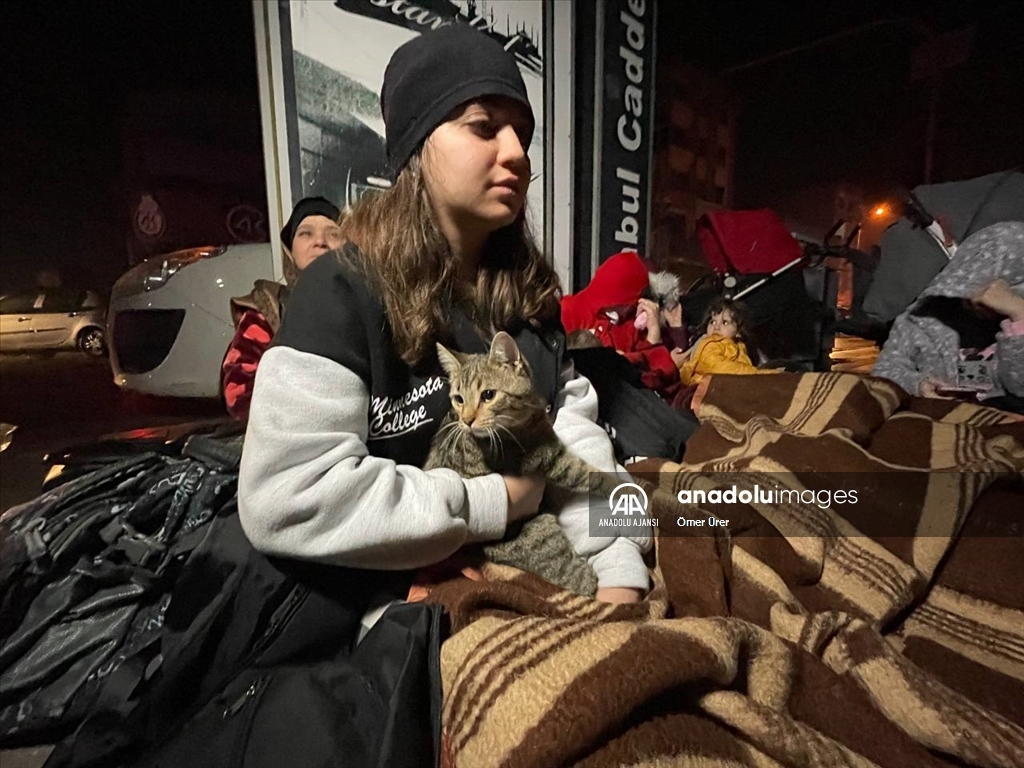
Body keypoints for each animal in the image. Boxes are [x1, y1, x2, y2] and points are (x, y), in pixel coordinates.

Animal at [423, 331, 614, 593]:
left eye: (488, 395)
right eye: (459, 399)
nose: (467, 420)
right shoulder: (549, 458)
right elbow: (587, 474)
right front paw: (622, 486)